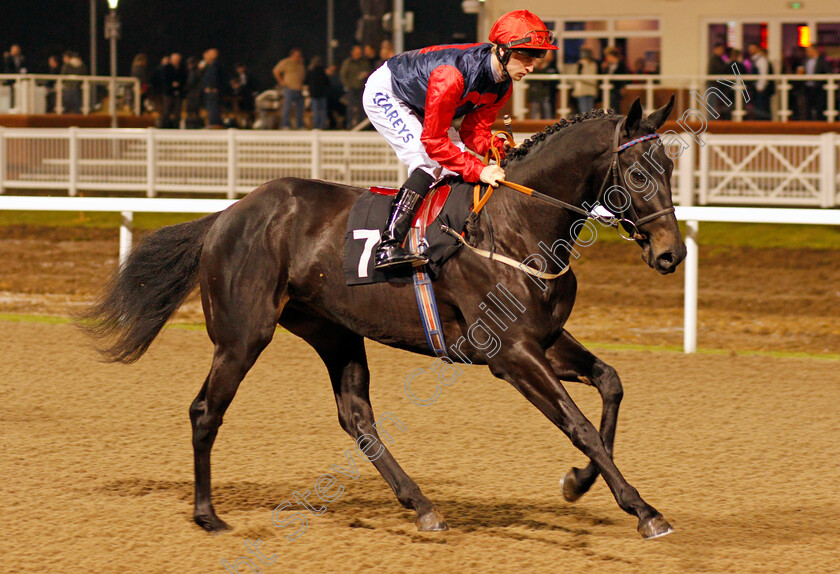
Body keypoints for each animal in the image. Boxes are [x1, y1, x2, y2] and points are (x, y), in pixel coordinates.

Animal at [85, 98, 684, 540]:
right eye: (636, 171)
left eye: (671, 166)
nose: (670, 254)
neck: (518, 225)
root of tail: (228, 214)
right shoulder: (511, 353)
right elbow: (579, 425)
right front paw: (644, 510)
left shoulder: (546, 339)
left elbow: (610, 384)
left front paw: (579, 483)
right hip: (242, 335)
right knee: (206, 409)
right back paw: (207, 515)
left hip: (334, 331)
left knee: (357, 418)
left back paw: (421, 504)